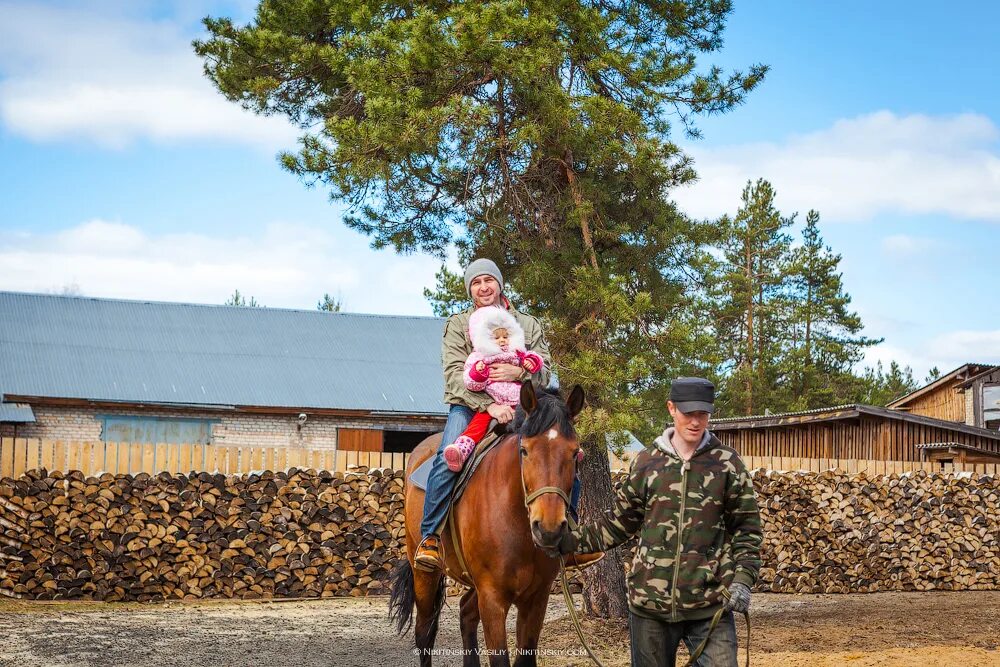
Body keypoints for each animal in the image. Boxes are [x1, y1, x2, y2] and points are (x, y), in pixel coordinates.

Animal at [386, 384, 584, 664]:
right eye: (525, 450)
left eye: (575, 452)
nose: (548, 529)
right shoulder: (492, 597)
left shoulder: (537, 598)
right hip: (424, 574)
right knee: (424, 632)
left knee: (465, 614)